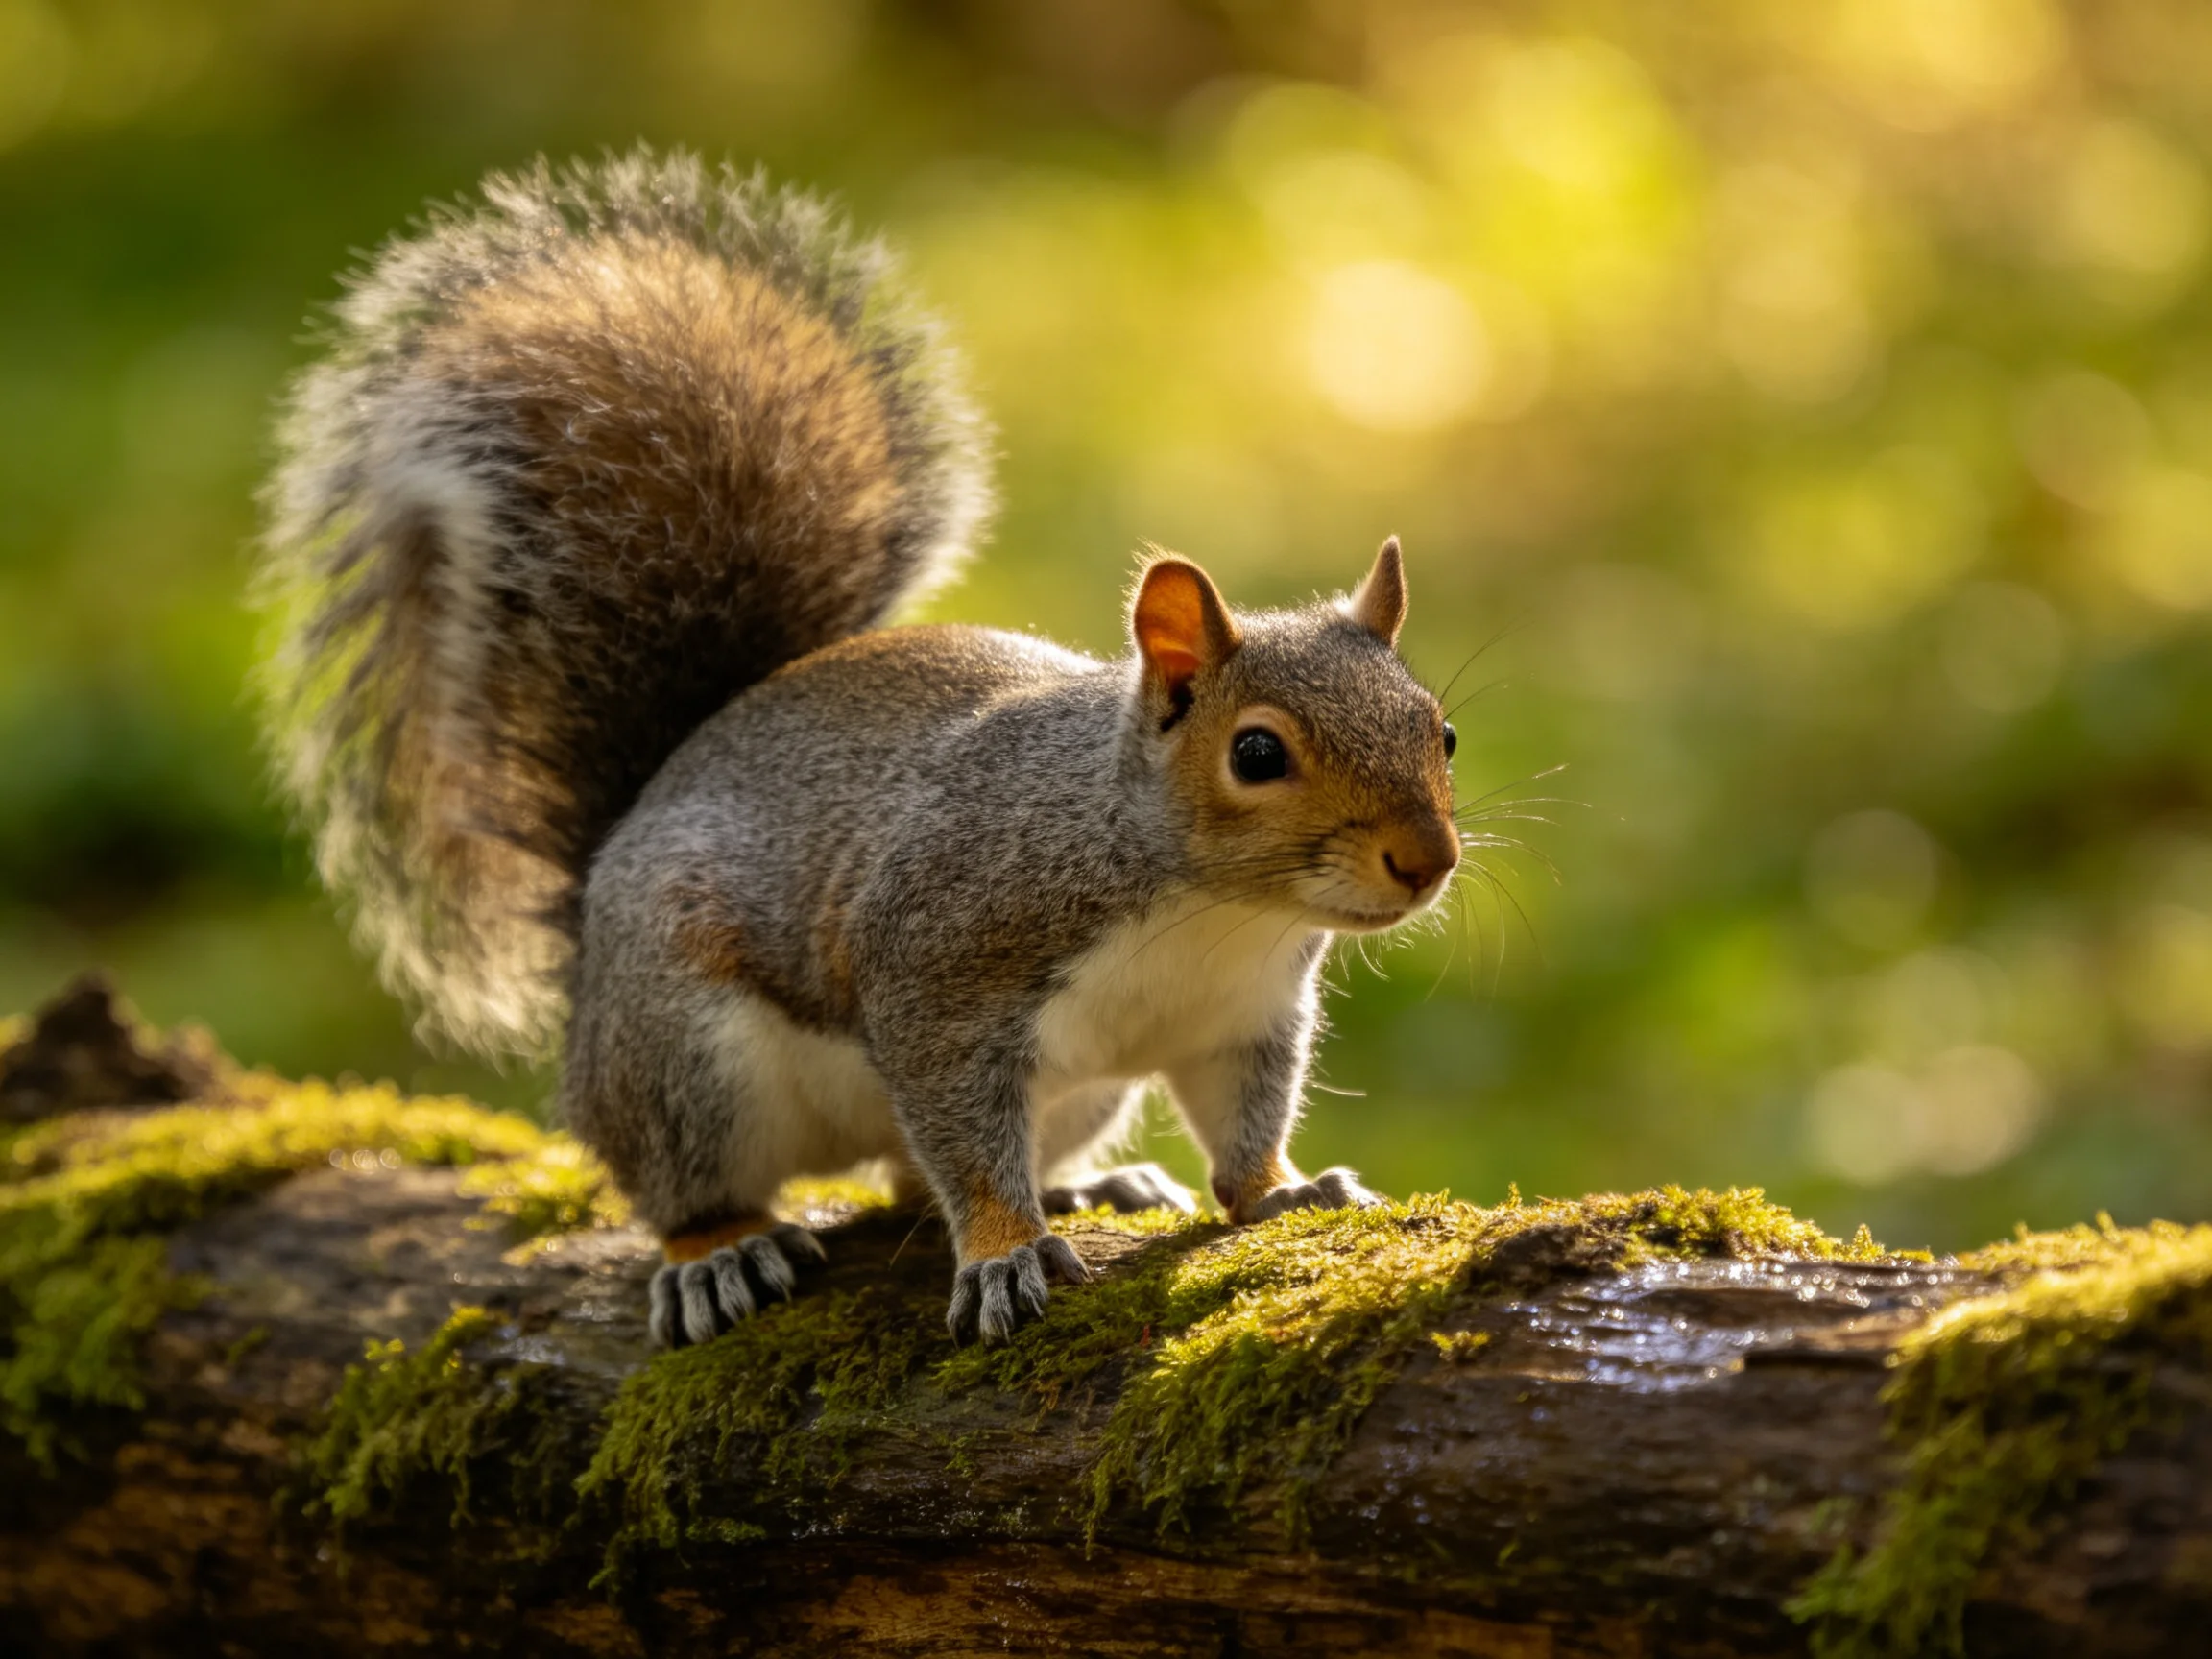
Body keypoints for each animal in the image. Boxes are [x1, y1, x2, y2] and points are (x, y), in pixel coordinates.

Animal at [257, 149, 1464, 1349]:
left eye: (1440, 730)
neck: (1206, 909)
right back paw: (720, 1254)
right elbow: (962, 1139)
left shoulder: (1245, 1017)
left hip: (1076, 1095)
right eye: (1256, 755)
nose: (1429, 862)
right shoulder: (940, 966)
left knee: (905, 1177)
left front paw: (1283, 1191)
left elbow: (1243, 1128)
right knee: (694, 1183)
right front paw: (1005, 1251)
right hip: (686, 1058)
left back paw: (1090, 1184)